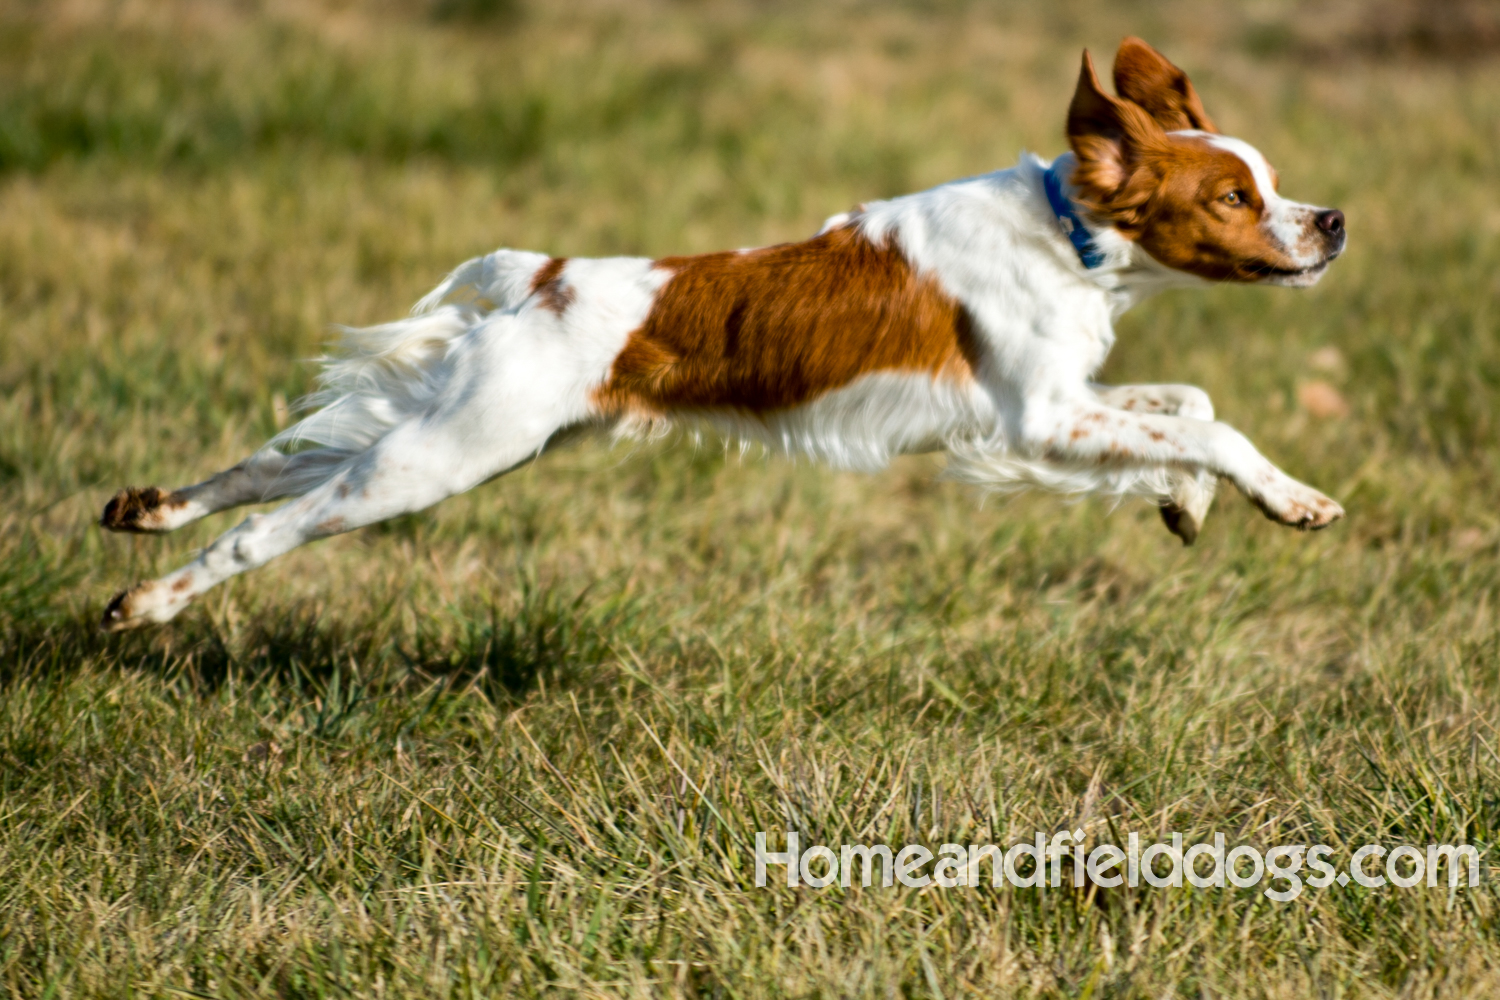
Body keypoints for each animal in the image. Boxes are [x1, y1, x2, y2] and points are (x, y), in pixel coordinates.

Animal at [102, 41, 1350, 632]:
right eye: (1234, 197)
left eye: (1272, 182)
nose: (1334, 221)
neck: (1066, 231)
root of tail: (543, 275)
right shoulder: (1038, 418)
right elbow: (1218, 423)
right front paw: (1288, 498)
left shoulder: (1046, 413)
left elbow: (1186, 407)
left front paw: (1184, 502)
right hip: (444, 457)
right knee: (272, 526)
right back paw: (149, 601)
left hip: (453, 427)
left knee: (268, 467)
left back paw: (146, 509)